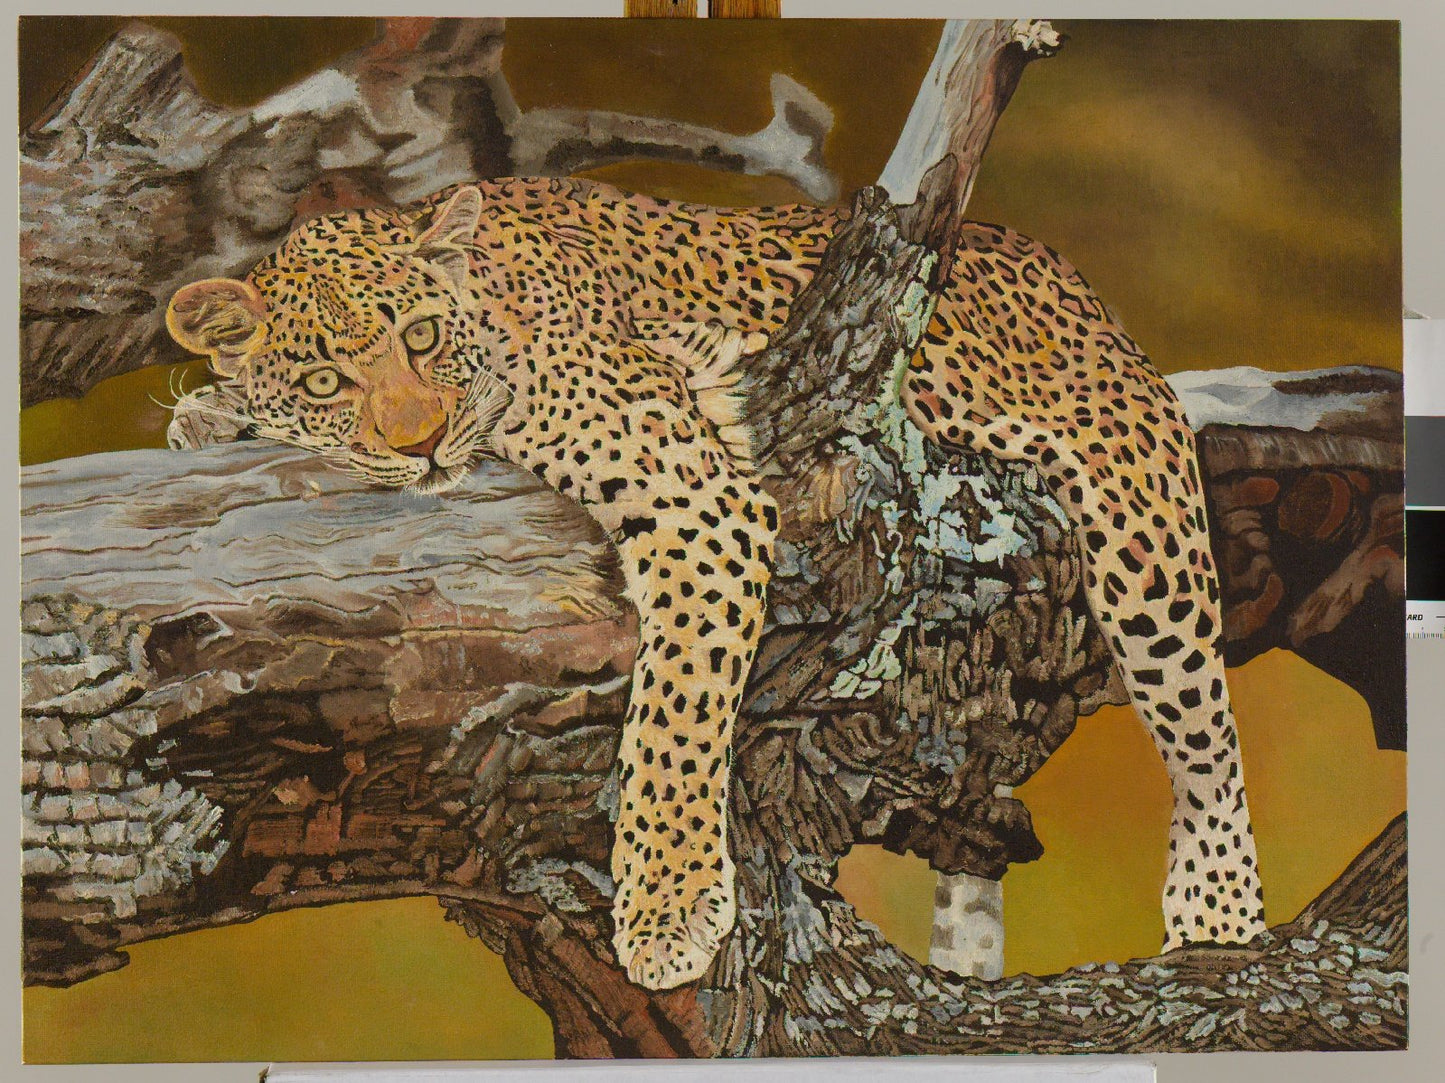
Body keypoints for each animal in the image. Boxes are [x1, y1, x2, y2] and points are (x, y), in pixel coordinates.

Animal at [165, 175, 1267, 991]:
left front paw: (668, 905)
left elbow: (675, 708)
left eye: (422, 339)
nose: (420, 441)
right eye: (325, 380)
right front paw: (210, 415)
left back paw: (1218, 919)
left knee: (1201, 730)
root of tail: (1058, 267)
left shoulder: (696, 496)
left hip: (1138, 523)